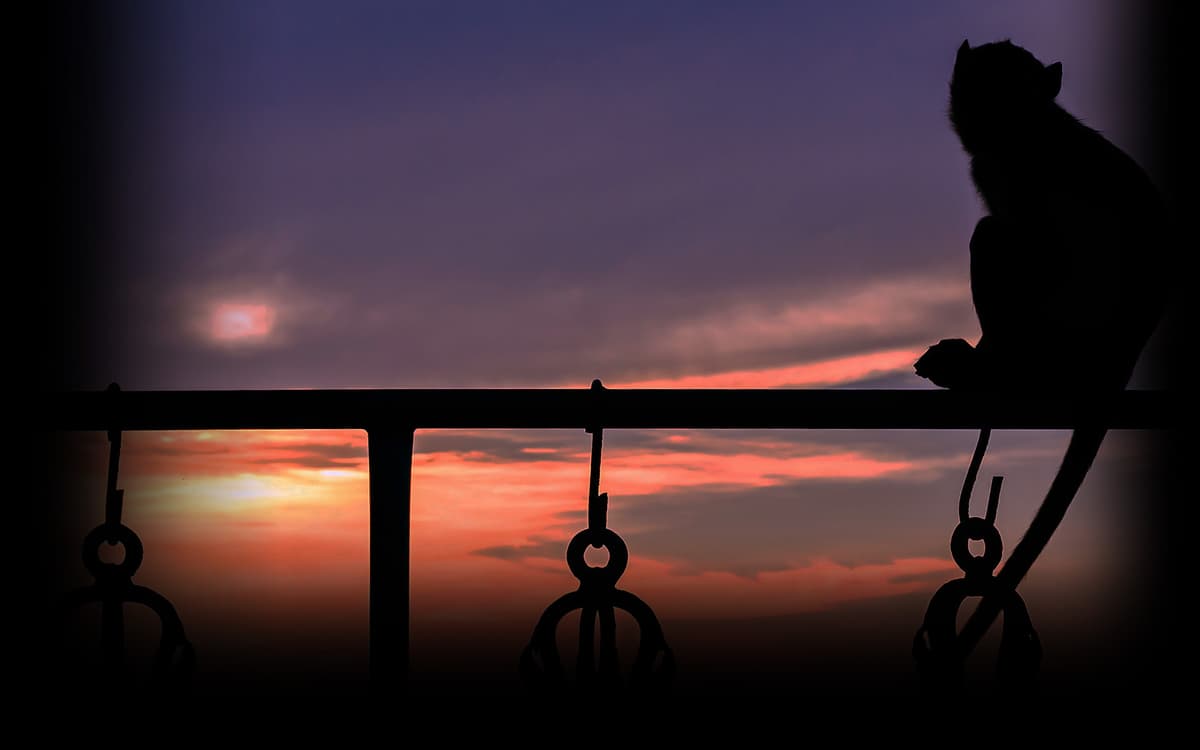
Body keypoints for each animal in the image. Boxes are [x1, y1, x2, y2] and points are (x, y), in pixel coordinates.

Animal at [914, 40, 1166, 655]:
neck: (1024, 132)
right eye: (983, 83)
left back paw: (988, 368)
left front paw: (979, 360)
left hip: (1060, 335)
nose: (988, 113)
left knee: (997, 239)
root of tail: (1120, 356)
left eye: (1014, 88)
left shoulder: (1018, 169)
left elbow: (1030, 242)